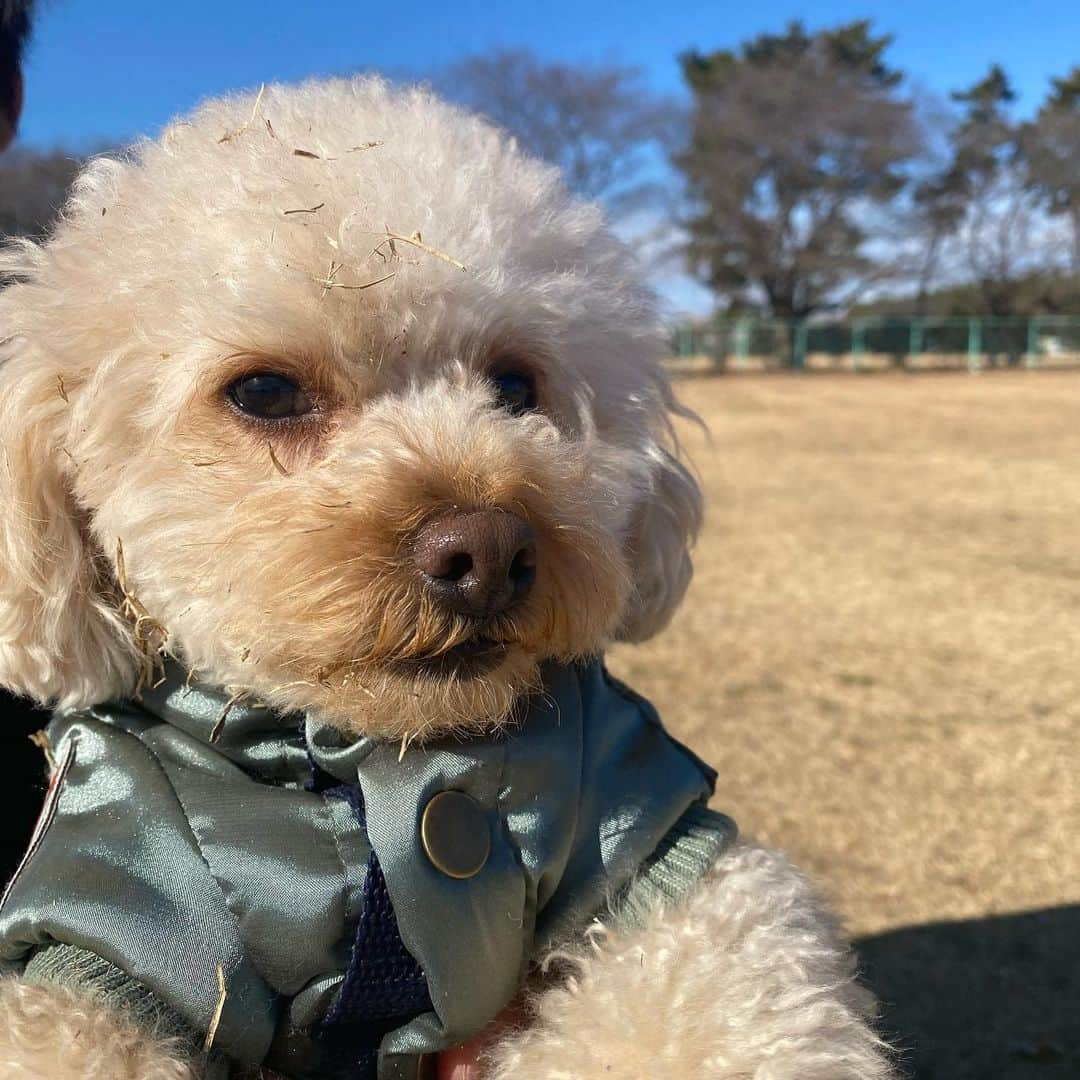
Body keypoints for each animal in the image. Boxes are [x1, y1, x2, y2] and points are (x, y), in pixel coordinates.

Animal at [0, 78, 894, 1080]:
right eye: (264, 392)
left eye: (514, 387)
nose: (489, 553)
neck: (375, 764)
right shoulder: (121, 896)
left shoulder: (637, 829)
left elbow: (720, 986)